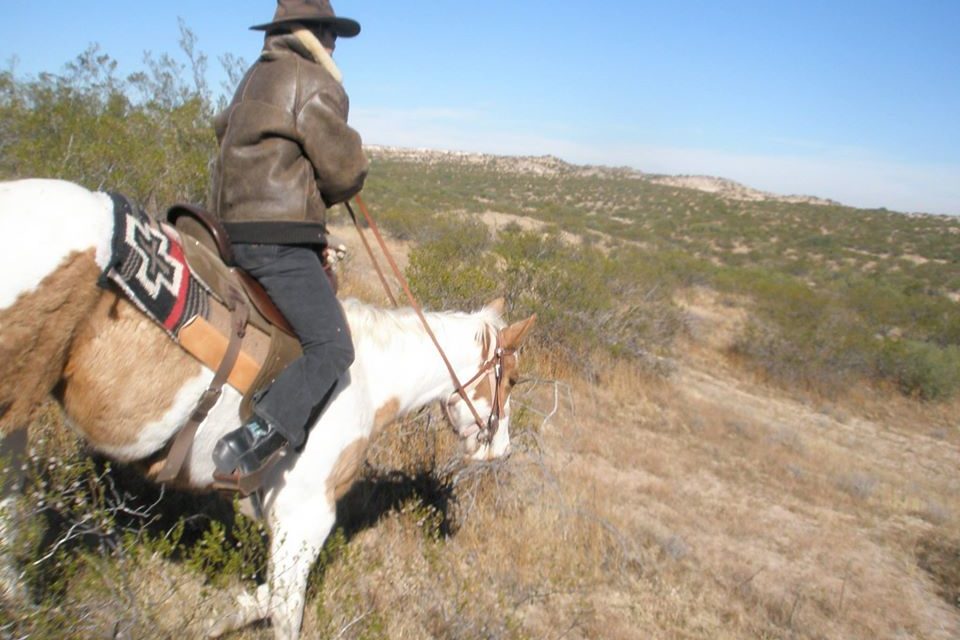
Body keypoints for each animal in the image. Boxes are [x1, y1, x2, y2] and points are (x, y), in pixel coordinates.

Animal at [0, 178, 536, 639]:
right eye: (510, 378)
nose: (500, 449)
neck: (369, 376)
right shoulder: (306, 513)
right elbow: (283, 607)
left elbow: (260, 598)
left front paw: (212, 618)